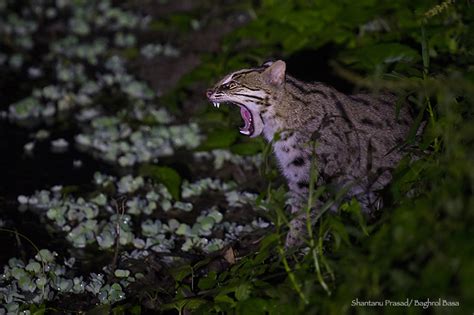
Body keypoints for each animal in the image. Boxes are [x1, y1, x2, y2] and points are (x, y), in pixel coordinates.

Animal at [206, 59, 412, 247]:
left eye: (231, 84)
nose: (207, 92)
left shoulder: (310, 179)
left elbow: (303, 219)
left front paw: (292, 252)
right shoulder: (296, 177)